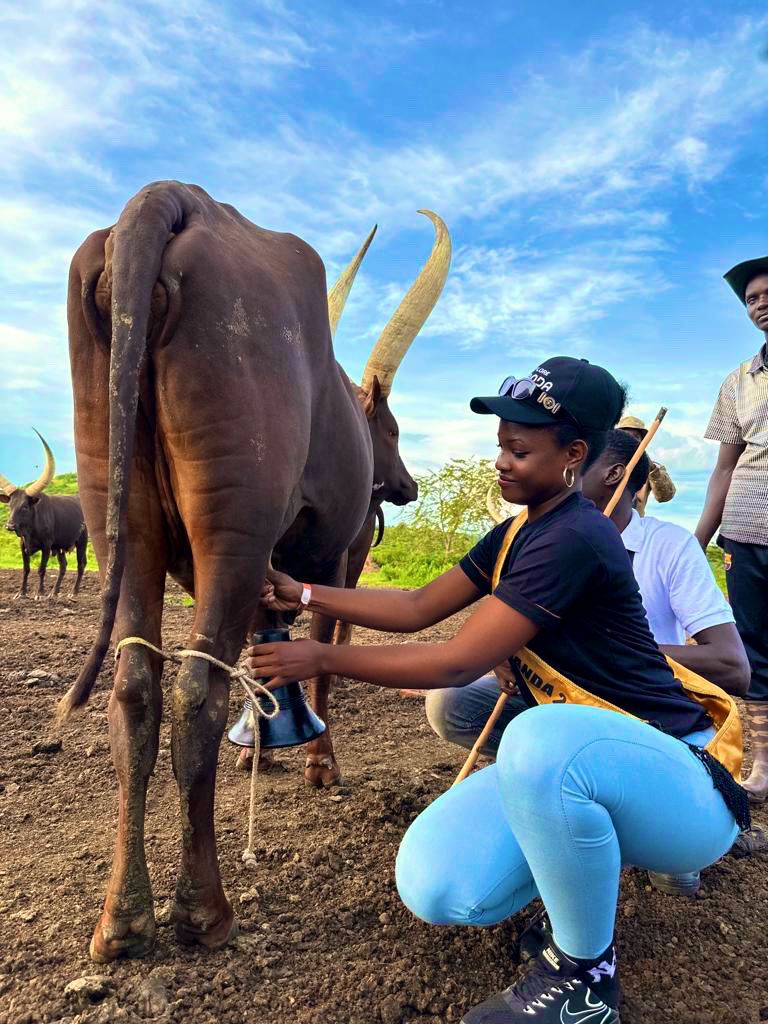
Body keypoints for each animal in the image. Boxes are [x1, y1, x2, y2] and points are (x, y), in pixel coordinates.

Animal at [63, 178, 454, 958]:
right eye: (391, 428)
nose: (404, 484)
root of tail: (167, 200)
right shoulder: (336, 560)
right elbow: (325, 654)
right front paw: (320, 762)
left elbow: (264, 650)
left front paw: (261, 752)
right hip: (233, 522)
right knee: (195, 691)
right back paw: (201, 909)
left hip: (119, 513)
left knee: (135, 690)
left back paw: (123, 917)